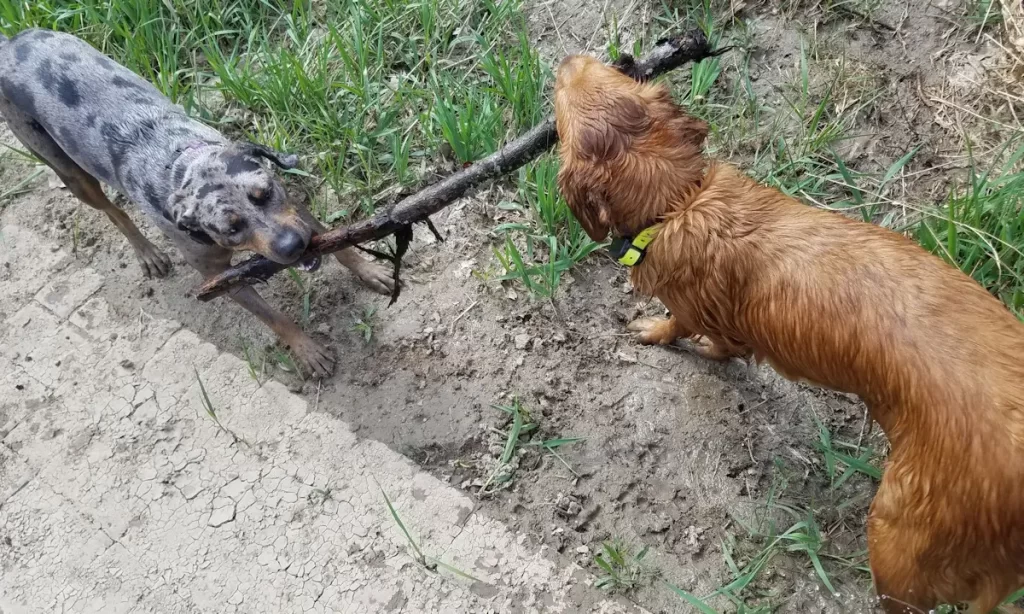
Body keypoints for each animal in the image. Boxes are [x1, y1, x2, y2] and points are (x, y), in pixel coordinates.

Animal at [0, 29, 393, 378]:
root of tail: (11, 41)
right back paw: (147, 253)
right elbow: (275, 318)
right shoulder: (220, 278)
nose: (293, 246)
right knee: (112, 210)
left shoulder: (294, 209)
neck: (181, 164)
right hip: (70, 172)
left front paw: (370, 270)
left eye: (264, 193)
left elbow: (342, 246)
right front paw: (307, 350)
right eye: (232, 228)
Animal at [557, 52, 1024, 614]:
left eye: (558, 104)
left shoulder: (694, 308)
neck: (683, 201)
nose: (566, 58)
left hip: (897, 537)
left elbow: (693, 334)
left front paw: (658, 334)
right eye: (613, 72)